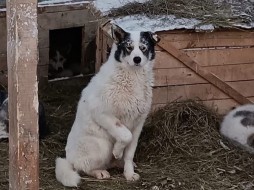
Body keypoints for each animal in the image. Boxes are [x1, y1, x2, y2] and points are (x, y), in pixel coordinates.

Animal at [54, 24, 160, 187]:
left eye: (143, 48)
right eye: (128, 47)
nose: (137, 59)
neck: (133, 76)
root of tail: (69, 159)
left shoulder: (138, 124)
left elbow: (129, 153)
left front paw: (129, 173)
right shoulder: (102, 113)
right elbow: (125, 135)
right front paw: (117, 151)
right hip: (101, 146)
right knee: (83, 167)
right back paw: (99, 172)